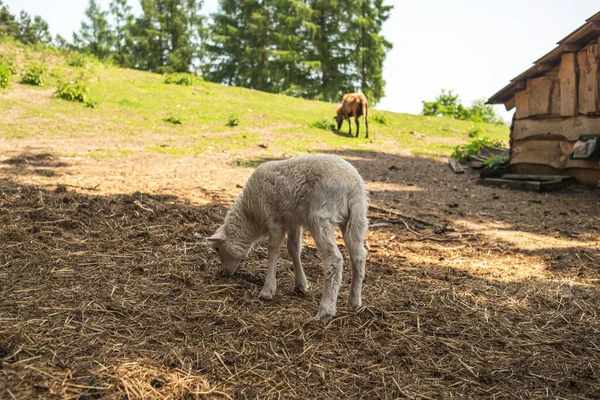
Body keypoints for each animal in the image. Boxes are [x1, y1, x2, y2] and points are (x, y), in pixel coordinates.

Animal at [206, 153, 368, 322]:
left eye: (217, 249)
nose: (225, 273)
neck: (251, 215)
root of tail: (351, 185)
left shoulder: (274, 218)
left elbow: (273, 249)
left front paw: (268, 290)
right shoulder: (292, 221)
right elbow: (293, 249)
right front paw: (301, 285)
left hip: (322, 216)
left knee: (334, 259)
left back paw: (325, 310)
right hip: (356, 218)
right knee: (359, 255)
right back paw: (354, 301)